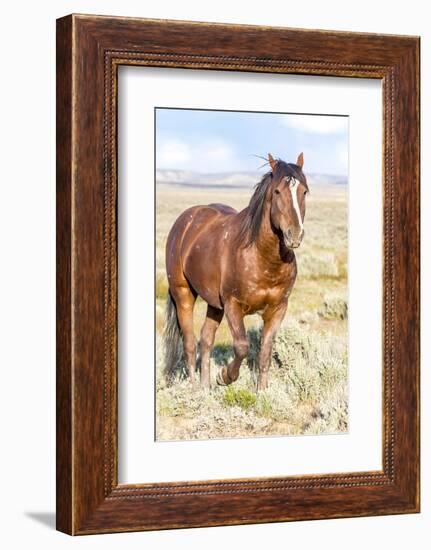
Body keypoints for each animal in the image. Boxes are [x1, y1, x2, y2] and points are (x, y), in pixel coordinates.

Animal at [164, 153, 308, 390]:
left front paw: (262, 391)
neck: (263, 259)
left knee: (206, 339)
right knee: (190, 343)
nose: (294, 234)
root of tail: (187, 220)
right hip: (183, 294)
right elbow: (242, 346)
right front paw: (225, 376)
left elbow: (265, 353)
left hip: (214, 305)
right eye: (277, 191)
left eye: (304, 191)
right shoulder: (233, 305)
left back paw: (205, 388)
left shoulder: (278, 309)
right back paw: (194, 389)